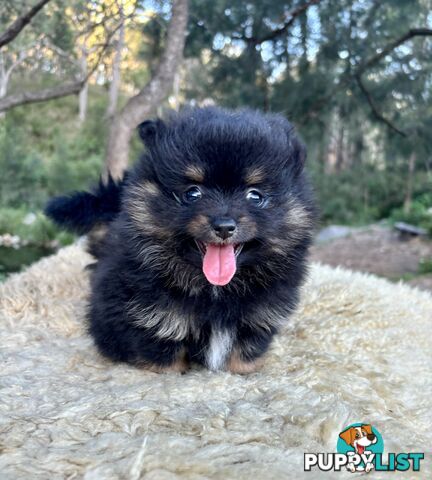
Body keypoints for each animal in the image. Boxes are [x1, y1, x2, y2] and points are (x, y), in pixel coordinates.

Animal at [45, 107, 318, 374]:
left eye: (255, 196)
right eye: (192, 193)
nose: (224, 226)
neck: (216, 290)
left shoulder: (258, 319)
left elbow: (243, 357)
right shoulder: (149, 317)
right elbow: (166, 359)